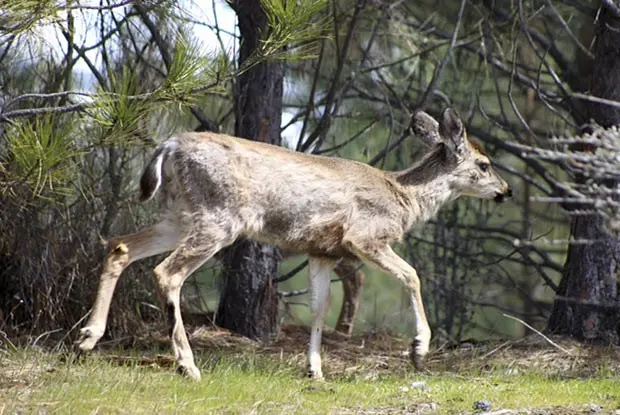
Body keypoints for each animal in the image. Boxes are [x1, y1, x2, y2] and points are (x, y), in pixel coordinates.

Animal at [76, 106, 512, 380]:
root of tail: (170, 145)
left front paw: (314, 370)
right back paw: (187, 364)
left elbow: (319, 308)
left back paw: (88, 337)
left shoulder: (322, 251)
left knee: (120, 246)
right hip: (218, 217)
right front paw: (419, 350)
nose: (505, 191)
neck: (404, 198)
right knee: (167, 273)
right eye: (484, 164)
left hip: (179, 215)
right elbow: (412, 275)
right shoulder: (364, 237)